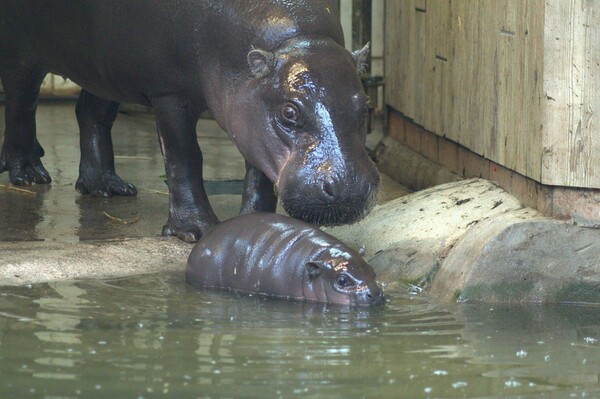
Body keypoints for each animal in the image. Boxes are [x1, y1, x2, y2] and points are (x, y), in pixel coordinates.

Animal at [0, 0, 380, 241]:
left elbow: (257, 170)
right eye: (289, 112)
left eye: (365, 104)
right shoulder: (169, 93)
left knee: (93, 115)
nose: (348, 189)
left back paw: (108, 187)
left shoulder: (252, 111)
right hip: (22, 52)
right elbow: (184, 158)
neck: (296, 43)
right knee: (21, 103)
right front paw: (195, 232)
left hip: (106, 68)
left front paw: (255, 222)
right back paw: (28, 176)